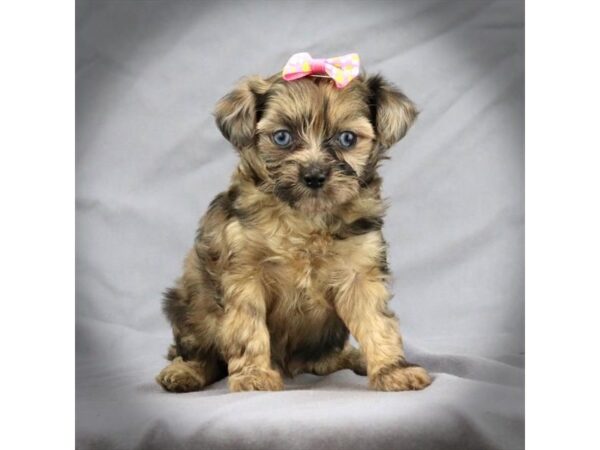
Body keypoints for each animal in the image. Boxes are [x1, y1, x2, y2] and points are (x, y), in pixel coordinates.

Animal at [156, 51, 432, 390]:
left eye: (347, 138)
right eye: (282, 137)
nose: (313, 176)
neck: (306, 219)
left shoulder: (361, 273)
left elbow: (377, 324)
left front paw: (392, 370)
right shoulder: (244, 273)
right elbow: (248, 328)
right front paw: (254, 374)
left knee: (326, 358)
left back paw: (351, 358)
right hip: (190, 306)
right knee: (200, 351)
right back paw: (186, 371)